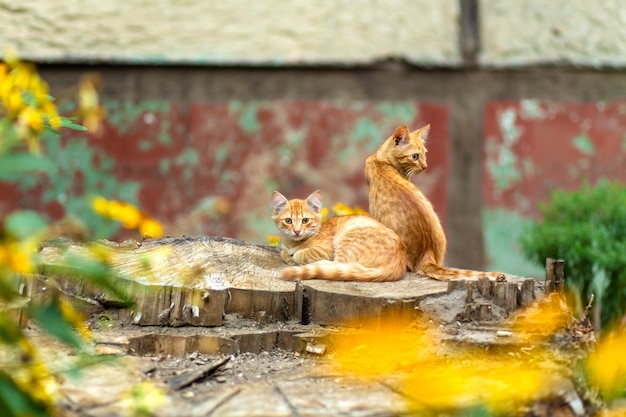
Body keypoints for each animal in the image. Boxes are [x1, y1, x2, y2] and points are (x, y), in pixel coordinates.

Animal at [270, 190, 408, 282]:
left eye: (305, 220)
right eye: (288, 221)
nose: (297, 231)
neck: (292, 243)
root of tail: (399, 262)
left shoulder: (325, 249)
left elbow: (299, 254)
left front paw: (294, 257)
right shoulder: (284, 247)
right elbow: (283, 252)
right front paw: (288, 256)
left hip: (347, 239)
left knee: (340, 265)